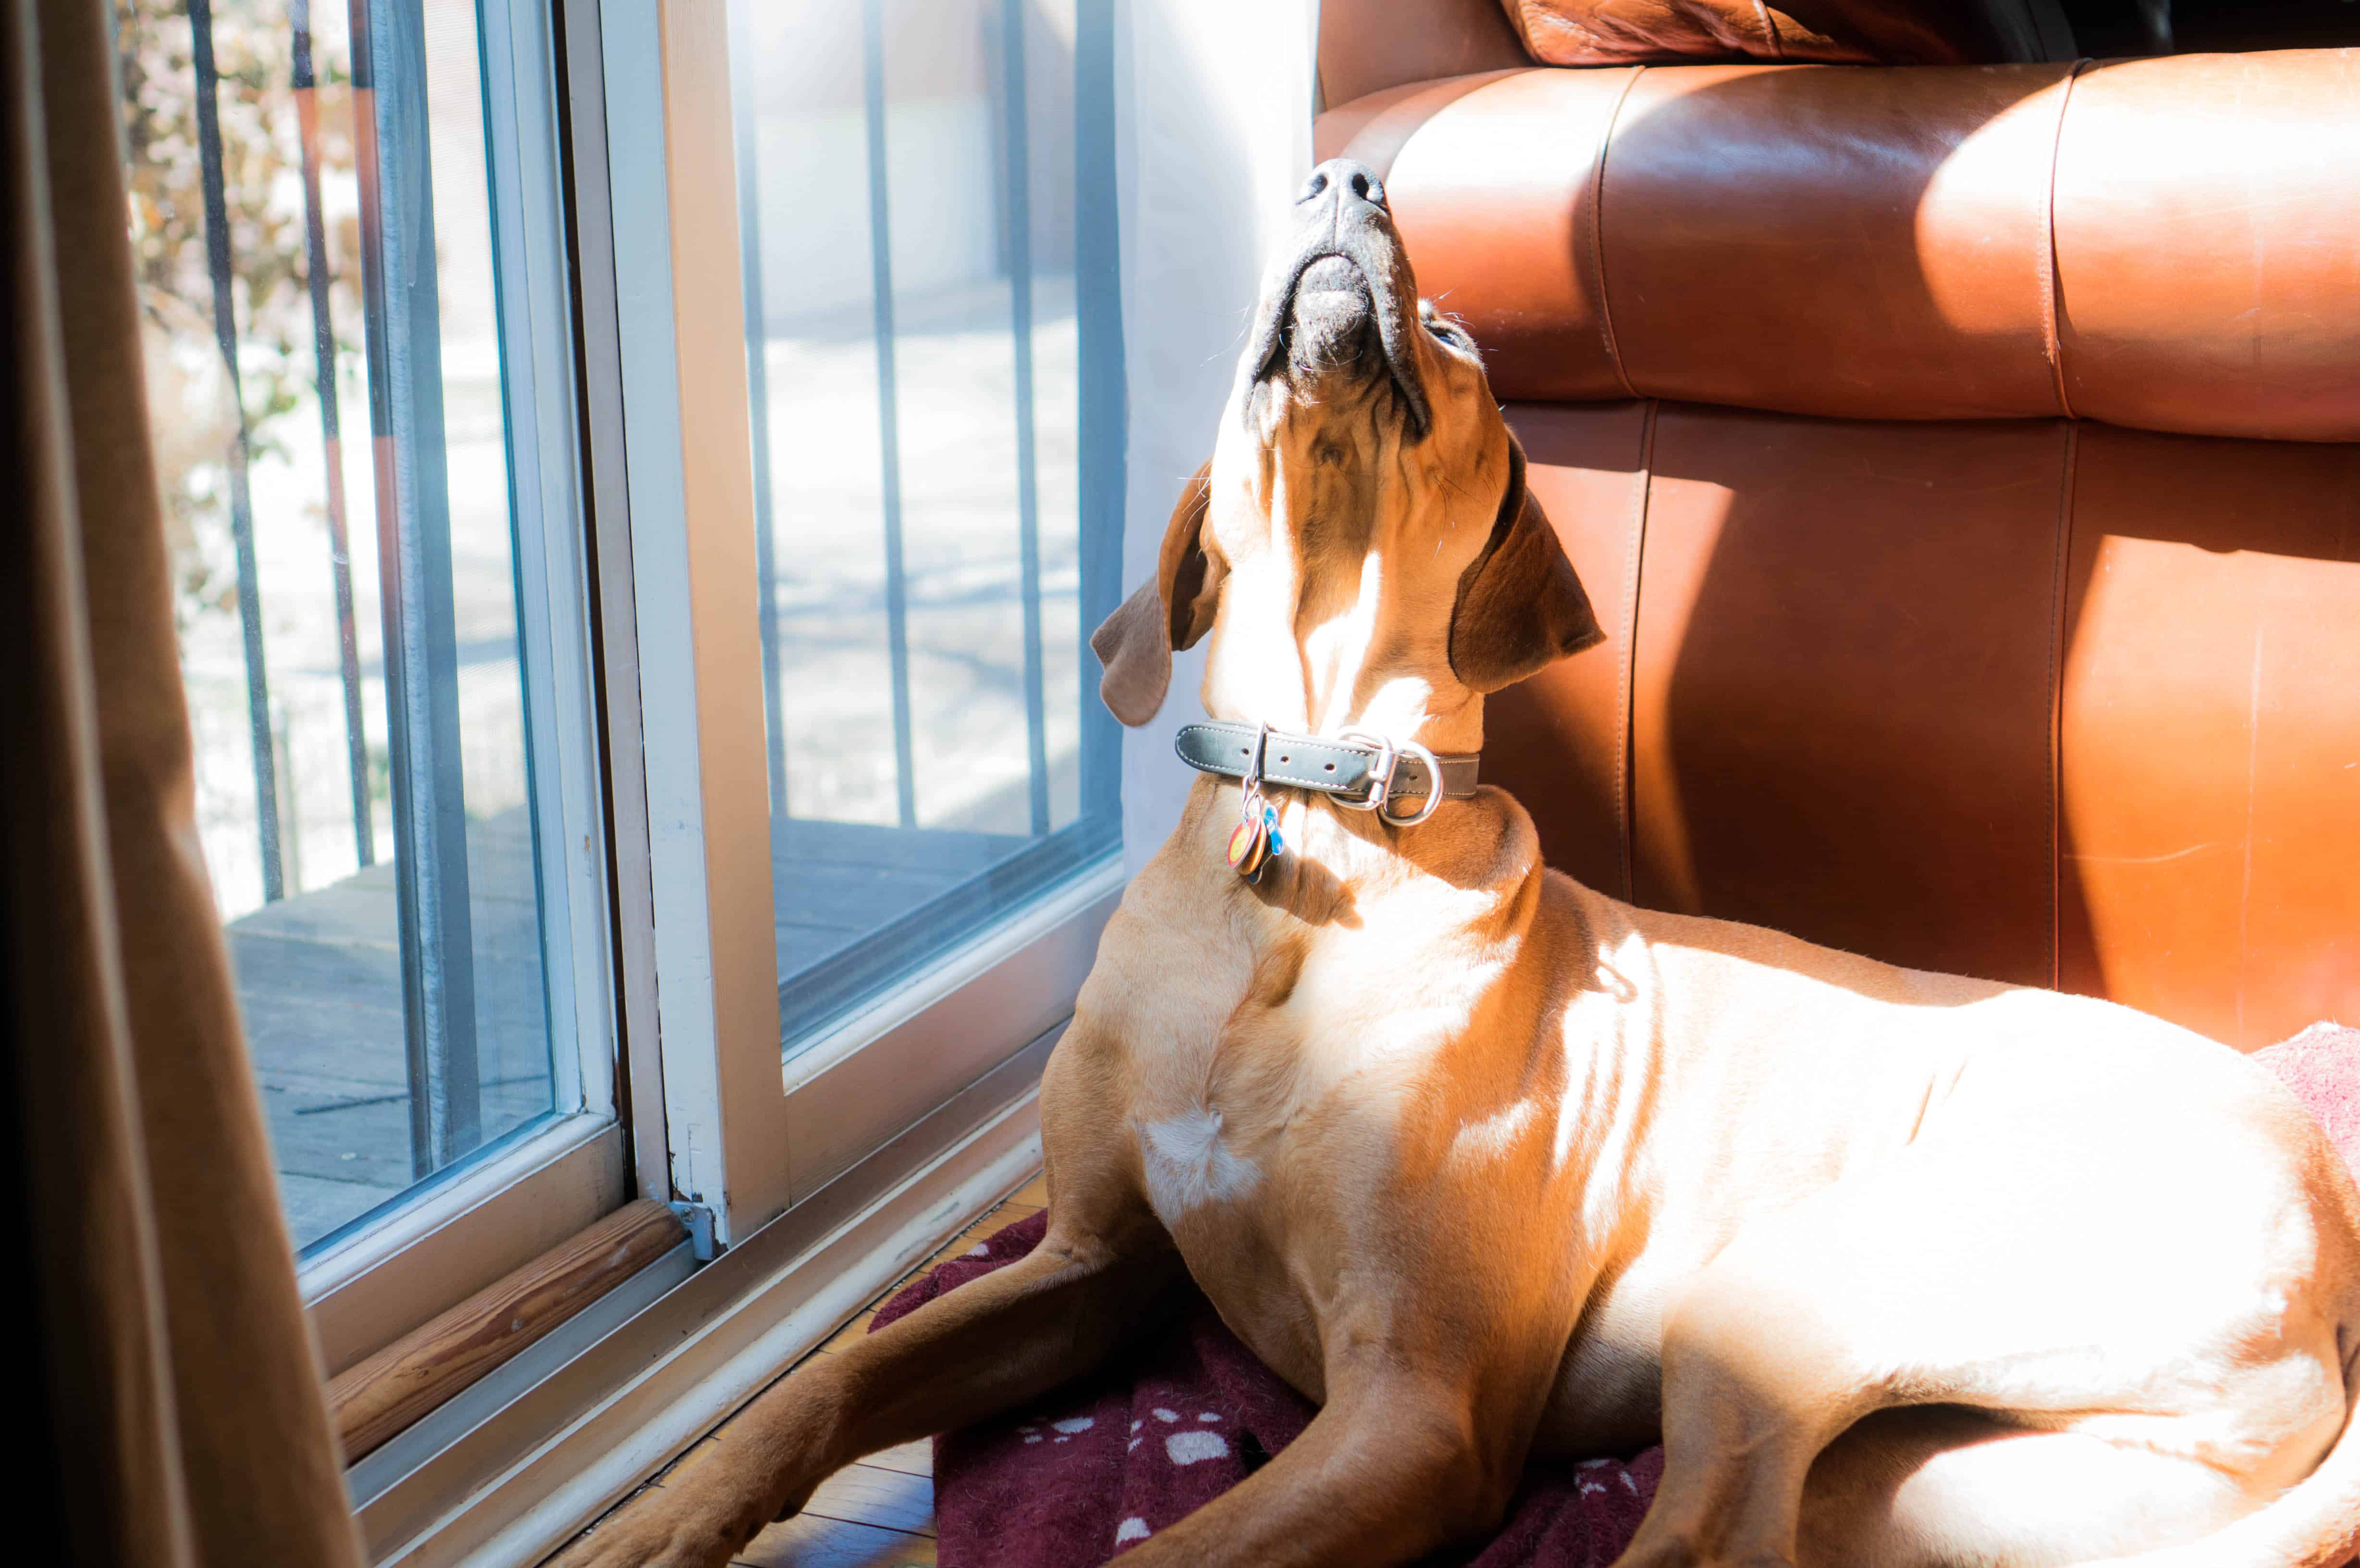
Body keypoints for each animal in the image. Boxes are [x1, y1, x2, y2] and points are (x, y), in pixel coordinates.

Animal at [562, 165, 2360, 1568]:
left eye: (1460, 341)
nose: (1347, 176)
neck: (1302, 821)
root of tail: (2329, 1229)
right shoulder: (1085, 1270)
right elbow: (837, 1375)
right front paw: (668, 1515)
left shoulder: (1416, 1410)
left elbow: (1189, 1544)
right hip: (1968, 1477)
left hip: (1787, 1293)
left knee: (1704, 1528)